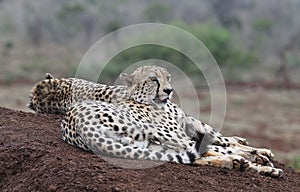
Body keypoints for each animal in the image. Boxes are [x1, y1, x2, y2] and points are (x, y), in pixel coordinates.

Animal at [28, 65, 284, 177]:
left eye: (167, 77)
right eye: (153, 79)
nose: (169, 90)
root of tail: (79, 124)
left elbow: (220, 140)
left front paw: (254, 151)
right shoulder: (183, 128)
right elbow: (219, 142)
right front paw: (256, 155)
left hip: (148, 145)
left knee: (193, 155)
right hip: (159, 137)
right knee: (204, 151)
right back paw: (250, 164)